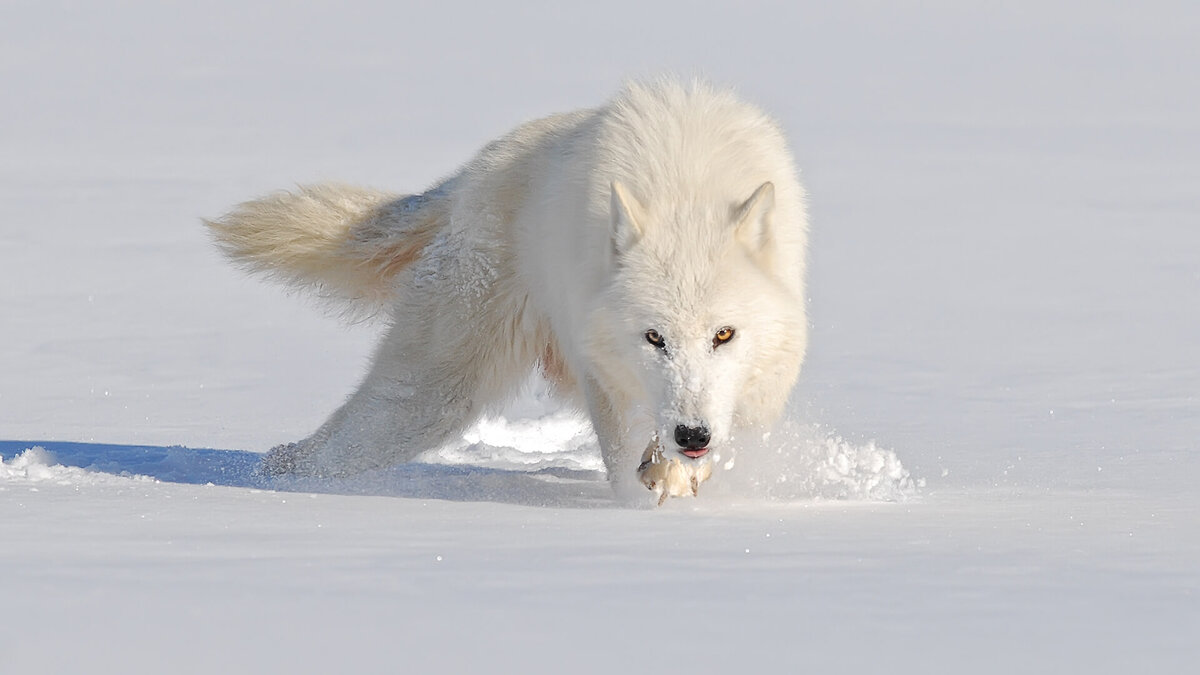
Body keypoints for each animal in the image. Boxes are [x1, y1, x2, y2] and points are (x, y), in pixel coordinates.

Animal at [208, 78, 806, 499]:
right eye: (654, 338)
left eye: (724, 335)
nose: (692, 435)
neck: (685, 190)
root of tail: (470, 175)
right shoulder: (603, 371)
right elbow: (628, 456)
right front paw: (655, 488)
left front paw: (680, 478)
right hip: (433, 397)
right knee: (334, 446)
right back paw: (267, 478)